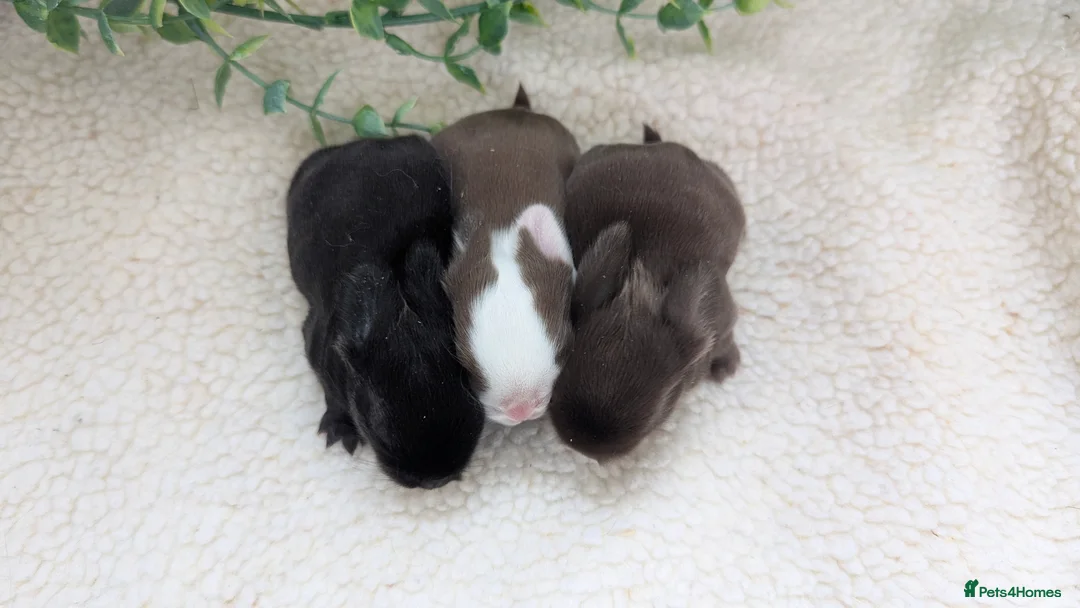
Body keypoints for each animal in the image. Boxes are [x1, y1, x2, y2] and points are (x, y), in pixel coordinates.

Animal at [286, 135, 485, 489]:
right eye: (376, 425)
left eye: (470, 388)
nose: (434, 480)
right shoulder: (318, 351)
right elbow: (332, 394)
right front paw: (340, 430)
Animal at [549, 125, 746, 461]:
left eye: (663, 409)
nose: (585, 448)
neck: (636, 293)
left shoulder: (724, 322)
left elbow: (725, 341)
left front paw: (726, 369)